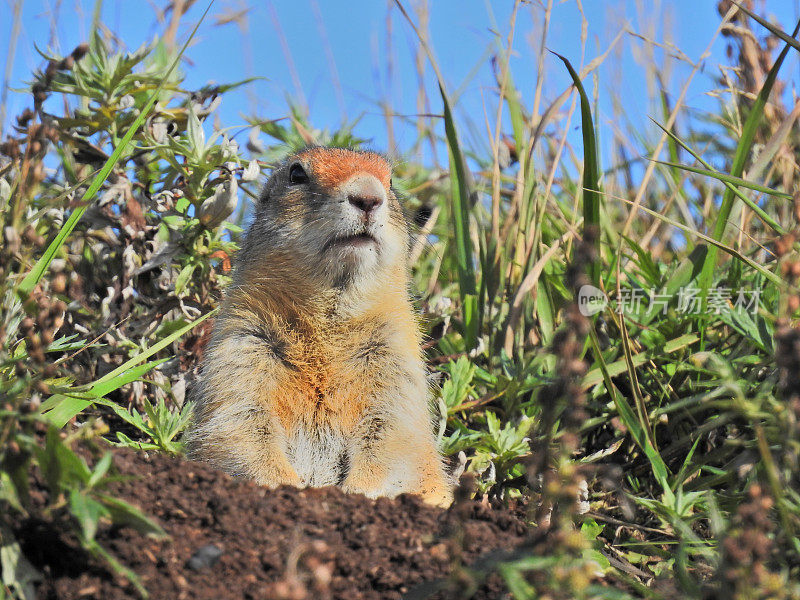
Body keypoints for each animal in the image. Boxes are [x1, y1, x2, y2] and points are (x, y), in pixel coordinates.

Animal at [184, 145, 454, 506]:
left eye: (391, 180)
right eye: (297, 173)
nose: (368, 197)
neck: (327, 322)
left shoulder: (395, 358)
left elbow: (392, 431)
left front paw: (360, 491)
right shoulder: (244, 344)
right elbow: (240, 421)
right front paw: (285, 486)